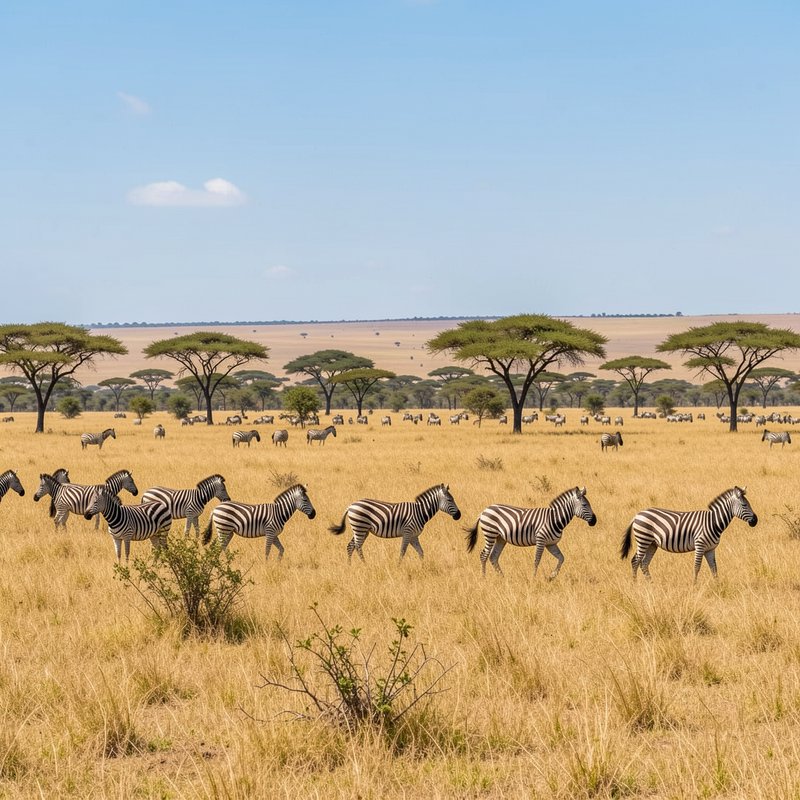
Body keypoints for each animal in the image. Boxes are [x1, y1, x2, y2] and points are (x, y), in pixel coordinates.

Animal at [329, 484, 461, 562]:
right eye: (450, 500)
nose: (459, 515)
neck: (420, 512)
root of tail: (351, 505)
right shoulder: (408, 532)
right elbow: (402, 552)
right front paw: (398, 567)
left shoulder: (414, 536)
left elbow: (421, 552)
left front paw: (423, 567)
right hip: (360, 527)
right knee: (357, 546)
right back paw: (364, 565)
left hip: (362, 530)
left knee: (351, 546)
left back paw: (350, 566)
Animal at [465, 486, 597, 578]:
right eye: (585, 505)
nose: (594, 521)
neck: (555, 519)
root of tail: (484, 510)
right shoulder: (541, 540)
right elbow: (537, 560)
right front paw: (534, 578)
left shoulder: (551, 544)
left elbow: (561, 558)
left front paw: (552, 576)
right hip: (490, 534)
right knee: (484, 555)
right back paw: (484, 578)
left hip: (500, 538)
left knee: (493, 556)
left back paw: (502, 577)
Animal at [620, 486, 758, 582]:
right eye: (744, 505)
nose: (755, 521)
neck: (713, 522)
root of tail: (637, 514)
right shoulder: (700, 545)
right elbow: (697, 567)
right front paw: (694, 586)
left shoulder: (710, 549)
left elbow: (714, 568)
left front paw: (718, 586)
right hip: (643, 539)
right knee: (635, 561)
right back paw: (635, 585)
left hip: (652, 544)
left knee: (644, 563)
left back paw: (651, 584)